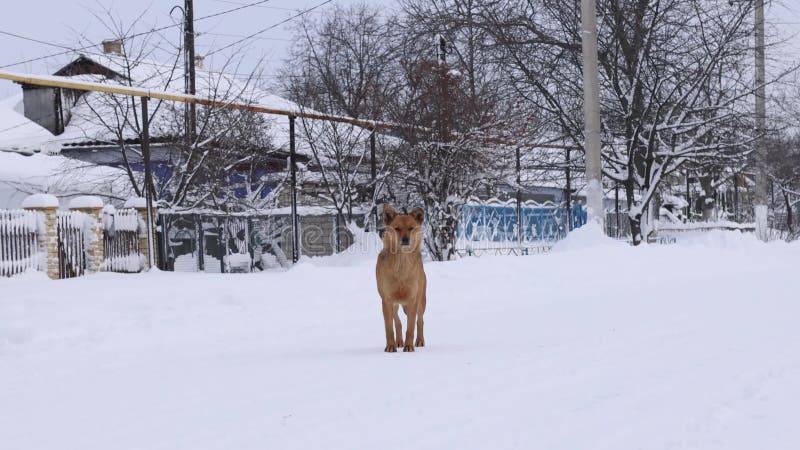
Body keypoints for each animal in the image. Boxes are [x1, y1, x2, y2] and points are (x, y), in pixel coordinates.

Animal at [374, 206, 424, 354]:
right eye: (397, 228)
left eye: (411, 228)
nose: (405, 239)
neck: (402, 264)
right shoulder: (387, 300)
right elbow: (389, 327)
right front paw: (391, 346)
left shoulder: (413, 299)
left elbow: (411, 327)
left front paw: (409, 346)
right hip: (394, 304)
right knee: (397, 322)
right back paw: (399, 342)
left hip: (421, 301)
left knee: (420, 321)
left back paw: (419, 341)